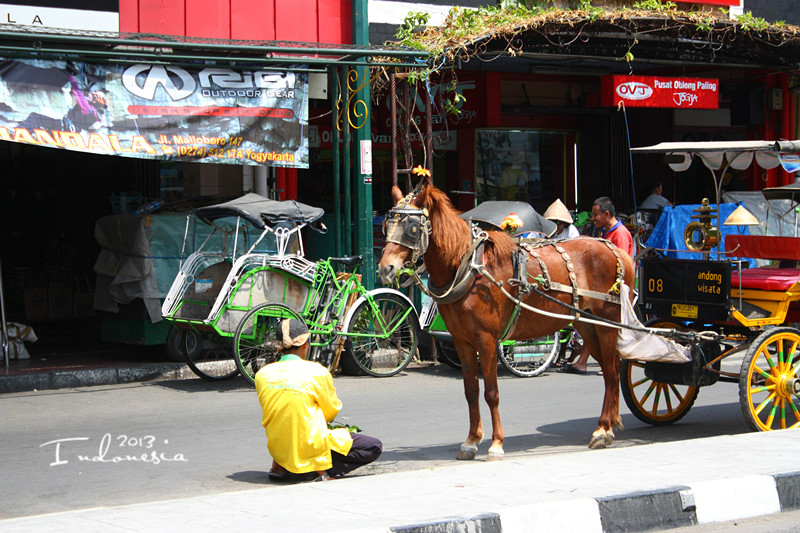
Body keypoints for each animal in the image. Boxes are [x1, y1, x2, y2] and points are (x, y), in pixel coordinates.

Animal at [378, 182, 636, 458]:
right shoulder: (462, 341)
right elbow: (471, 391)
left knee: (611, 372)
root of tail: (616, 250)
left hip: (607, 323)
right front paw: (471, 441)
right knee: (609, 368)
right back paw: (608, 427)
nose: (385, 268)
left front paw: (496, 443)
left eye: (412, 229)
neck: (470, 268)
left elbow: (491, 392)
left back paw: (602, 430)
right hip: (586, 325)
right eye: (387, 224)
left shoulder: (487, 340)